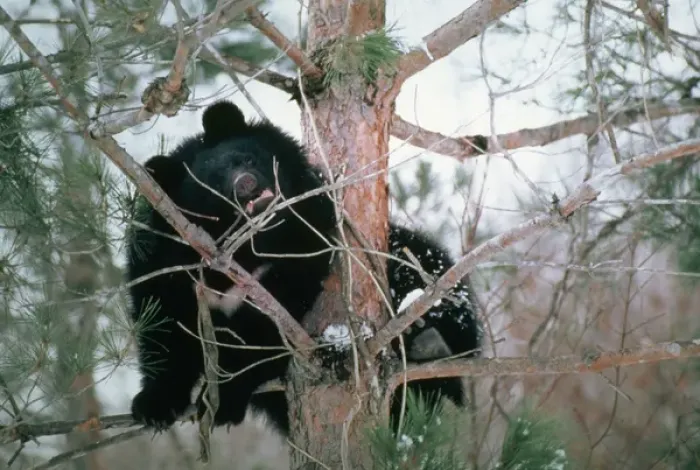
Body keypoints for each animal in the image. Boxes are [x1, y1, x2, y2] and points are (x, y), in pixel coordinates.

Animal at [125, 100, 482, 435]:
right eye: (213, 194)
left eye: (247, 159)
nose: (246, 184)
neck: (247, 254)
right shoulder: (166, 271)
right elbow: (164, 329)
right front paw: (153, 406)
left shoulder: (304, 246)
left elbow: (267, 331)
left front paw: (223, 401)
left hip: (415, 262)